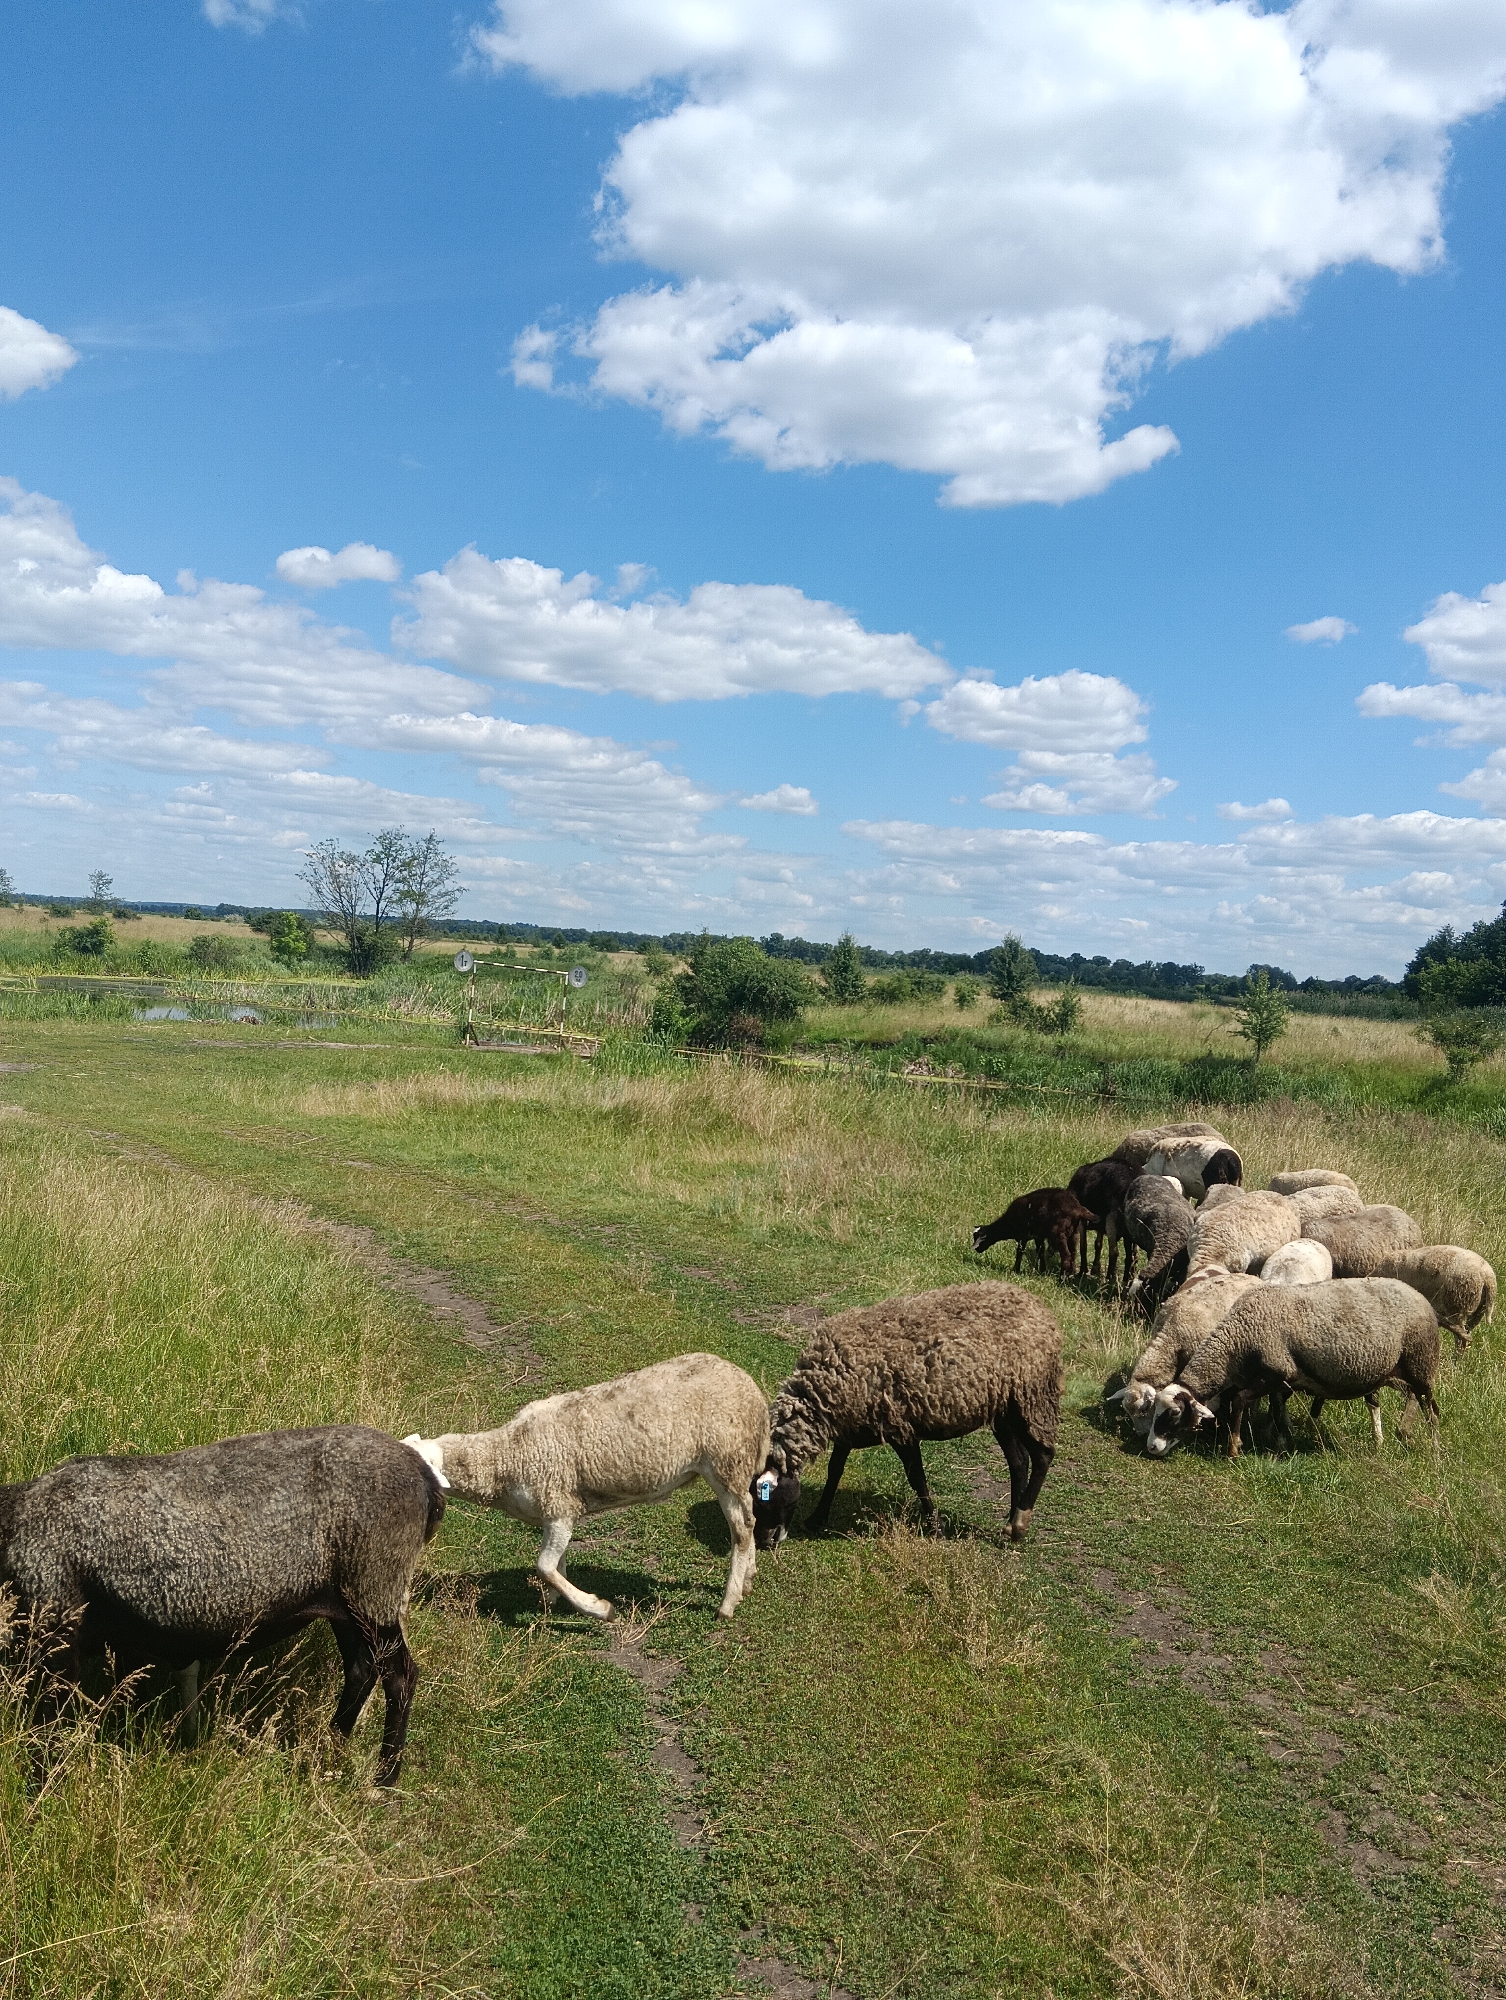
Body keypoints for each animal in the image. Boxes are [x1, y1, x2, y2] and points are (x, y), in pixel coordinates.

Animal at [0, 1426, 445, 1786]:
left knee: (400, 1675)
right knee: (360, 1670)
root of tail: (424, 1480)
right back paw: (330, 1750)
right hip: (349, 1601)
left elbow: (49, 1725)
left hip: (374, 1584)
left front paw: (44, 1788)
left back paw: (384, 1779)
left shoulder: (55, 1629)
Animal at [404, 1353, 769, 1622]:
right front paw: (553, 1602)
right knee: (750, 1520)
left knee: (741, 1528)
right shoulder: (554, 1514)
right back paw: (748, 1580)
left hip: (726, 1460)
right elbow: (557, 1564)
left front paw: (599, 1609)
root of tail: (752, 1390)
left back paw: (728, 1602)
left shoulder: (560, 1507)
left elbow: (545, 1566)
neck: (506, 1456)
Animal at [750, 1282, 1061, 1548]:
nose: (765, 1541)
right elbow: (835, 1470)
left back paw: (1020, 1523)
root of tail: (1039, 1307)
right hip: (1002, 1408)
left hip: (1031, 1396)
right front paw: (818, 1517)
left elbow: (917, 1478)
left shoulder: (901, 1428)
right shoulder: (850, 1427)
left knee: (1043, 1454)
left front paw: (935, 1527)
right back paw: (1009, 1526)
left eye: (766, 1498)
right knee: (1019, 1461)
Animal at [1147, 1278, 1440, 1457]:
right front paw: (1280, 1443)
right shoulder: (1282, 1381)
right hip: (1397, 1371)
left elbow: (1240, 1401)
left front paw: (1233, 1448)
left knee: (1431, 1409)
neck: (1237, 1340)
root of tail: (1420, 1296)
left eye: (1174, 1414)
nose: (1152, 1447)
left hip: (1421, 1362)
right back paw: (1391, 1437)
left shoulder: (1277, 1372)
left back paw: (1434, 1450)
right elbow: (1277, 1410)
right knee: (1406, 1399)